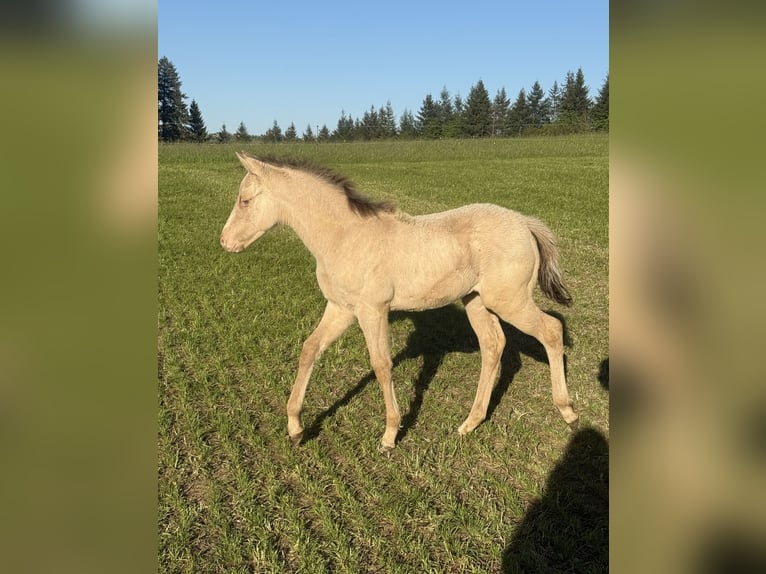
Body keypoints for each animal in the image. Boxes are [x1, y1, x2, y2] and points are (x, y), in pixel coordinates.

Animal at [220, 152, 578, 450]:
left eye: (245, 200)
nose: (225, 242)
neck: (346, 237)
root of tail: (524, 223)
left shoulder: (372, 310)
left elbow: (381, 364)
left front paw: (390, 434)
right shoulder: (341, 308)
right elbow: (310, 349)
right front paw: (295, 427)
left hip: (510, 301)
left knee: (551, 330)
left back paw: (568, 412)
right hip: (477, 301)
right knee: (494, 345)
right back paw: (470, 423)